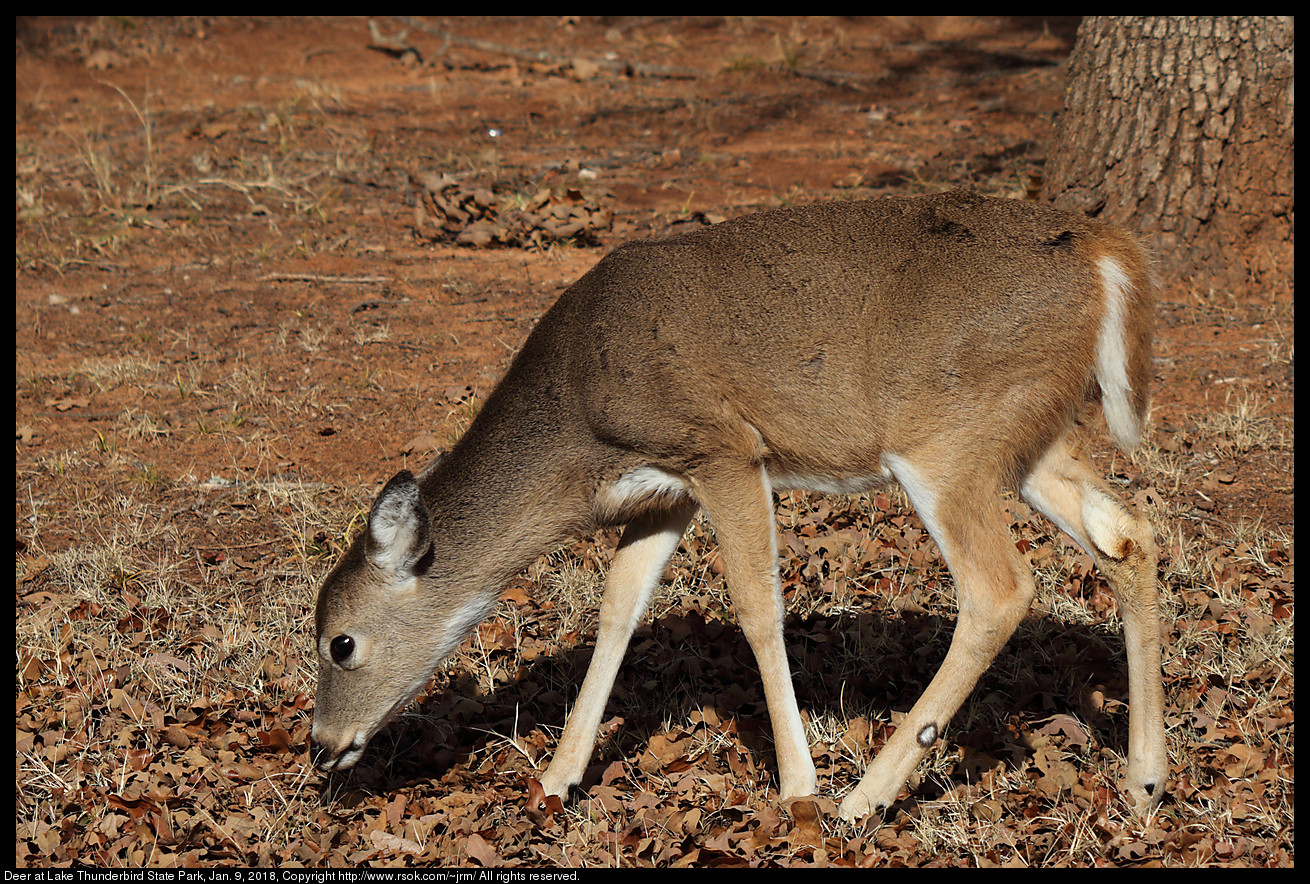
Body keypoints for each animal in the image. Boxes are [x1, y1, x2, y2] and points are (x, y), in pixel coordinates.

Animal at [311, 189, 1173, 817]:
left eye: (340, 644)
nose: (322, 745)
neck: (578, 422)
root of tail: (1104, 253)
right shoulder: (662, 491)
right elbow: (618, 609)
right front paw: (558, 779)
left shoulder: (722, 447)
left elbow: (757, 607)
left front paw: (797, 784)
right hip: (1027, 433)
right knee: (1128, 534)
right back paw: (1145, 779)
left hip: (945, 437)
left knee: (1000, 589)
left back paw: (863, 799)